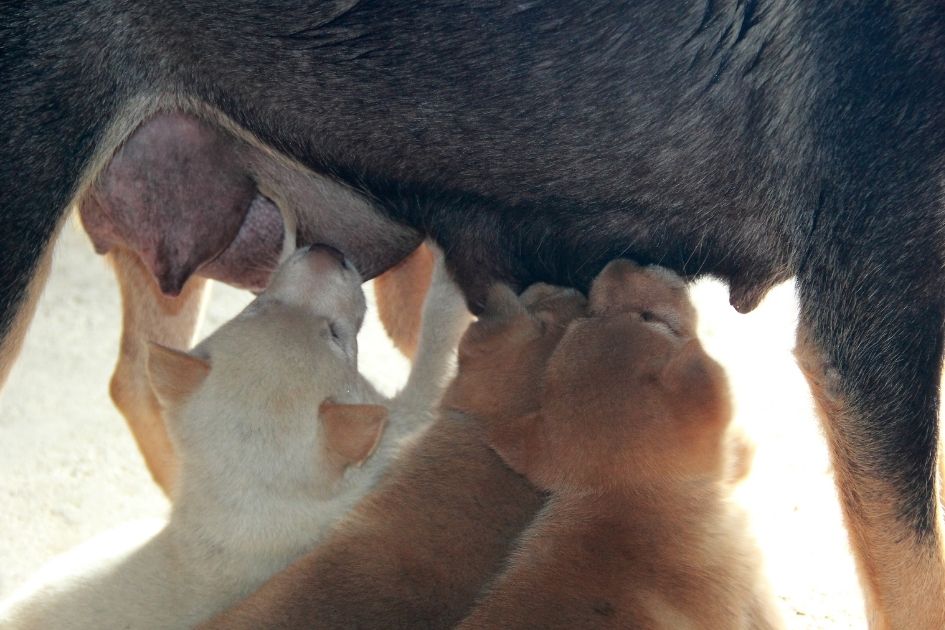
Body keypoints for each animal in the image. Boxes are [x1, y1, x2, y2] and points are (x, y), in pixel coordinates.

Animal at [0, 244, 470, 628]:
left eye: (256, 304)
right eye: (336, 335)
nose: (326, 249)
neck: (245, 503)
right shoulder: (406, 422)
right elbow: (437, 345)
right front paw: (448, 276)